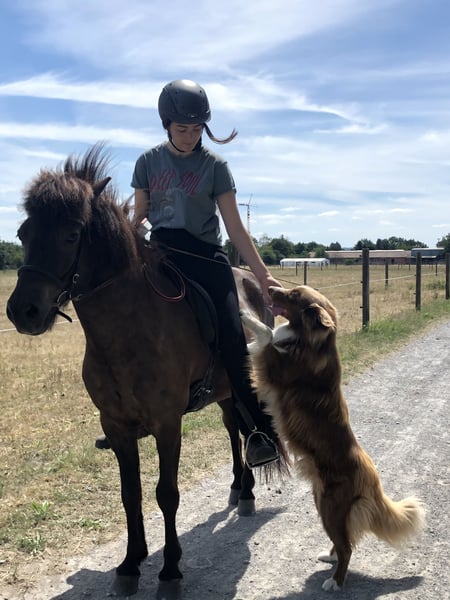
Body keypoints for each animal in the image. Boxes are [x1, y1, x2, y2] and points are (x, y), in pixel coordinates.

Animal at [6, 144, 286, 596]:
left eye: (71, 235)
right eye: (23, 234)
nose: (22, 311)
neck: (127, 330)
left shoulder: (167, 423)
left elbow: (166, 494)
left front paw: (170, 570)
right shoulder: (117, 425)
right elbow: (130, 494)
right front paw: (131, 562)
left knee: (245, 431)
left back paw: (248, 483)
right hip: (223, 392)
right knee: (233, 429)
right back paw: (239, 489)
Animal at [241, 284, 425, 591]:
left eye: (293, 295)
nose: (271, 287)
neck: (314, 343)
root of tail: (373, 479)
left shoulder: (274, 366)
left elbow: (266, 334)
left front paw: (244, 315)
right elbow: (268, 334)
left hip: (331, 508)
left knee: (347, 547)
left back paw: (335, 581)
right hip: (323, 504)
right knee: (344, 542)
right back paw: (330, 557)